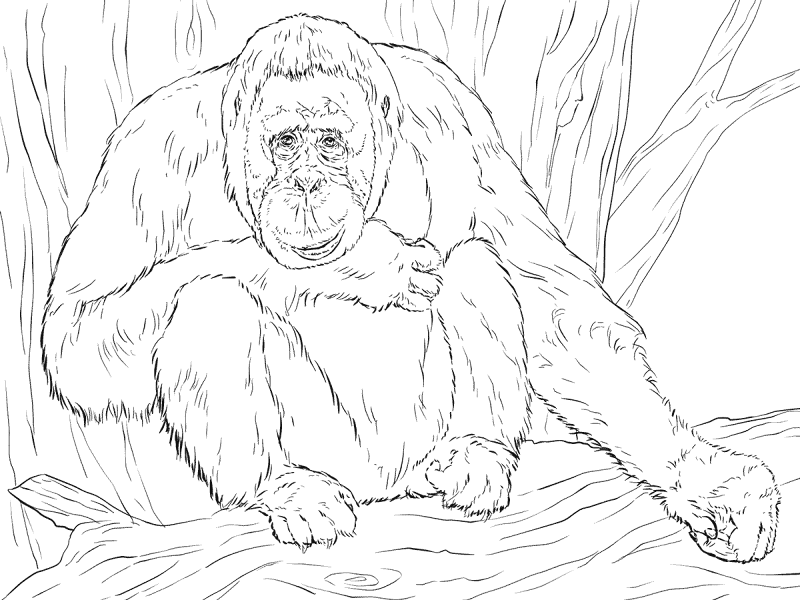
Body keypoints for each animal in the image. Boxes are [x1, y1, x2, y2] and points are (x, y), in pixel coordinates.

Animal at [42, 15, 779, 562]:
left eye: (329, 143)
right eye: (285, 143)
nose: (306, 184)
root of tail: (385, 488)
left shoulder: (450, 112)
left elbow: (554, 306)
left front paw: (707, 479)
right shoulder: (150, 148)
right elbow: (78, 334)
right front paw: (366, 262)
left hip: (418, 442)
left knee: (476, 259)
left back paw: (477, 453)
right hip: (337, 455)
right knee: (207, 298)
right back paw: (284, 486)